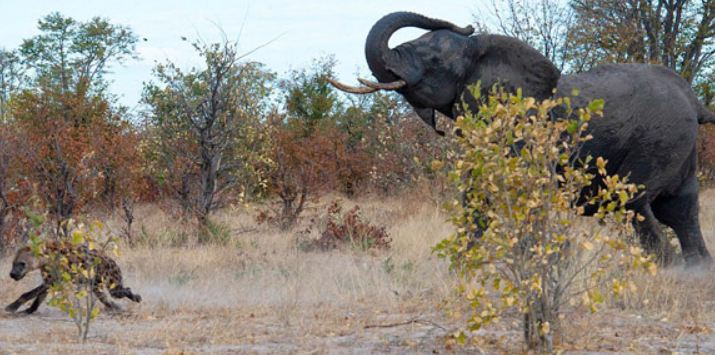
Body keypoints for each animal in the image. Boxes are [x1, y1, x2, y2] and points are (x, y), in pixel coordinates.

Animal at [332, 11, 715, 266]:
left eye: (432, 59)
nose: (465, 24)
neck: (479, 50)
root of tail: (694, 99)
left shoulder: (524, 129)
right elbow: (476, 195)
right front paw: (465, 266)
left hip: (659, 140)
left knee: (636, 203)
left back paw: (668, 268)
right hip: (680, 145)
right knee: (680, 209)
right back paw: (696, 270)